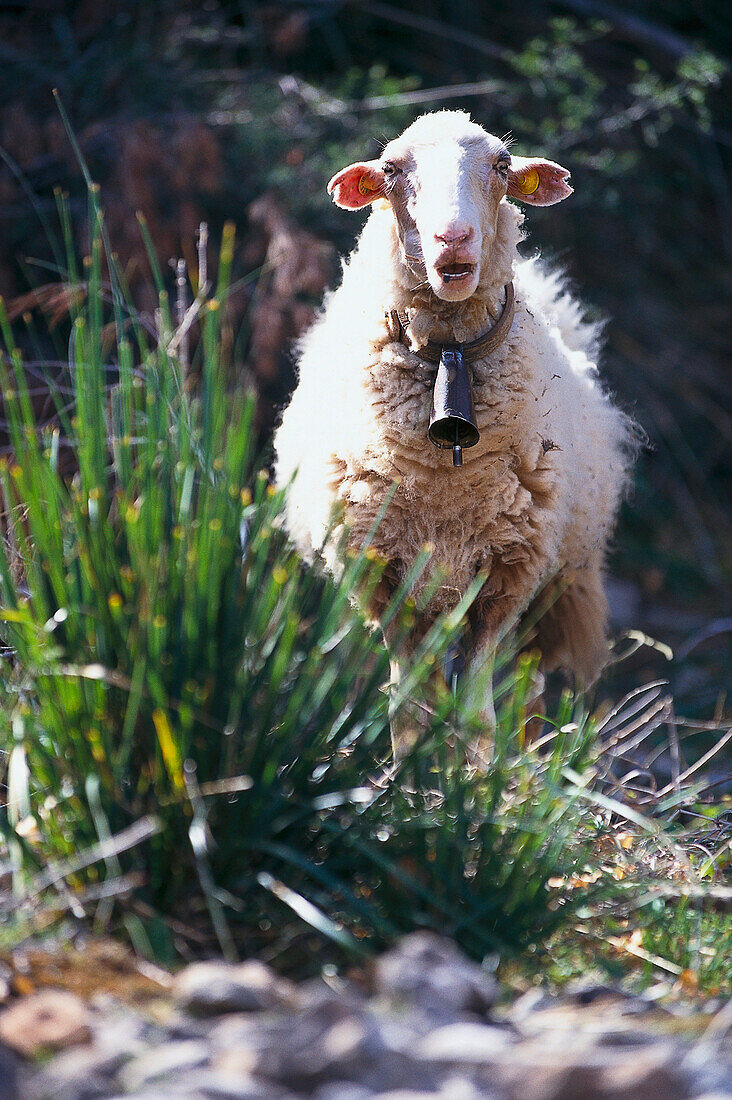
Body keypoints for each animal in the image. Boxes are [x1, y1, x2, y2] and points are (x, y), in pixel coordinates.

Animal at [274, 111, 634, 756]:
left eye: (500, 164)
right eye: (392, 169)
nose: (453, 239)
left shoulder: (504, 578)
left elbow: (477, 717)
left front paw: (479, 778)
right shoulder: (386, 578)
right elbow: (410, 712)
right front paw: (416, 775)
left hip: (551, 588)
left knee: (526, 697)